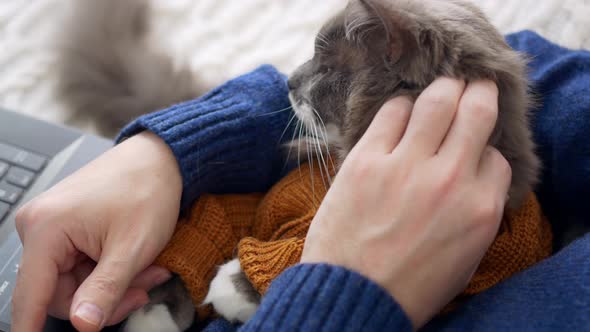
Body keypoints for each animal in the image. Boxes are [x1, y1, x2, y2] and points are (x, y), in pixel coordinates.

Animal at [57, 0, 544, 330]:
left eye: (325, 68)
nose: (289, 79)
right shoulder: (253, 198)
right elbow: (200, 233)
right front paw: (153, 308)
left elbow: (296, 257)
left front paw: (233, 288)